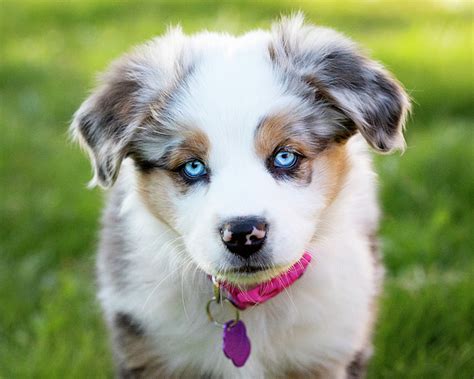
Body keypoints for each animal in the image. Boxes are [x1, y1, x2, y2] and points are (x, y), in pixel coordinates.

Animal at [71, 13, 412, 378]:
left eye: (285, 157)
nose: (243, 234)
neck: (249, 301)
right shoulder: (150, 351)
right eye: (193, 167)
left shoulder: (327, 349)